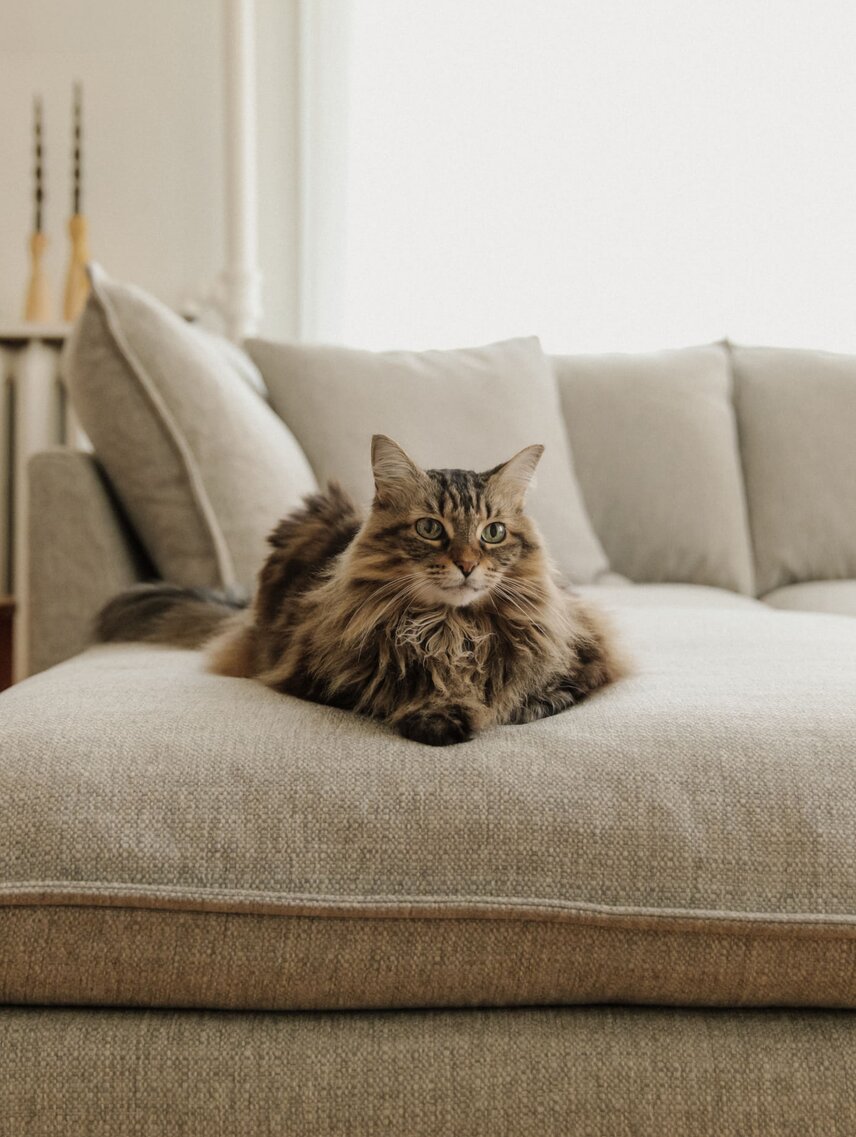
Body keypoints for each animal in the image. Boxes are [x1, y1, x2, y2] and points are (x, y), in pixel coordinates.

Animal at [98, 434, 622, 745]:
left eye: (492, 533)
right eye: (430, 528)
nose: (468, 565)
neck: (451, 627)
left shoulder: (586, 663)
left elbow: (532, 697)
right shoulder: (316, 675)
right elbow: (393, 691)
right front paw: (439, 715)